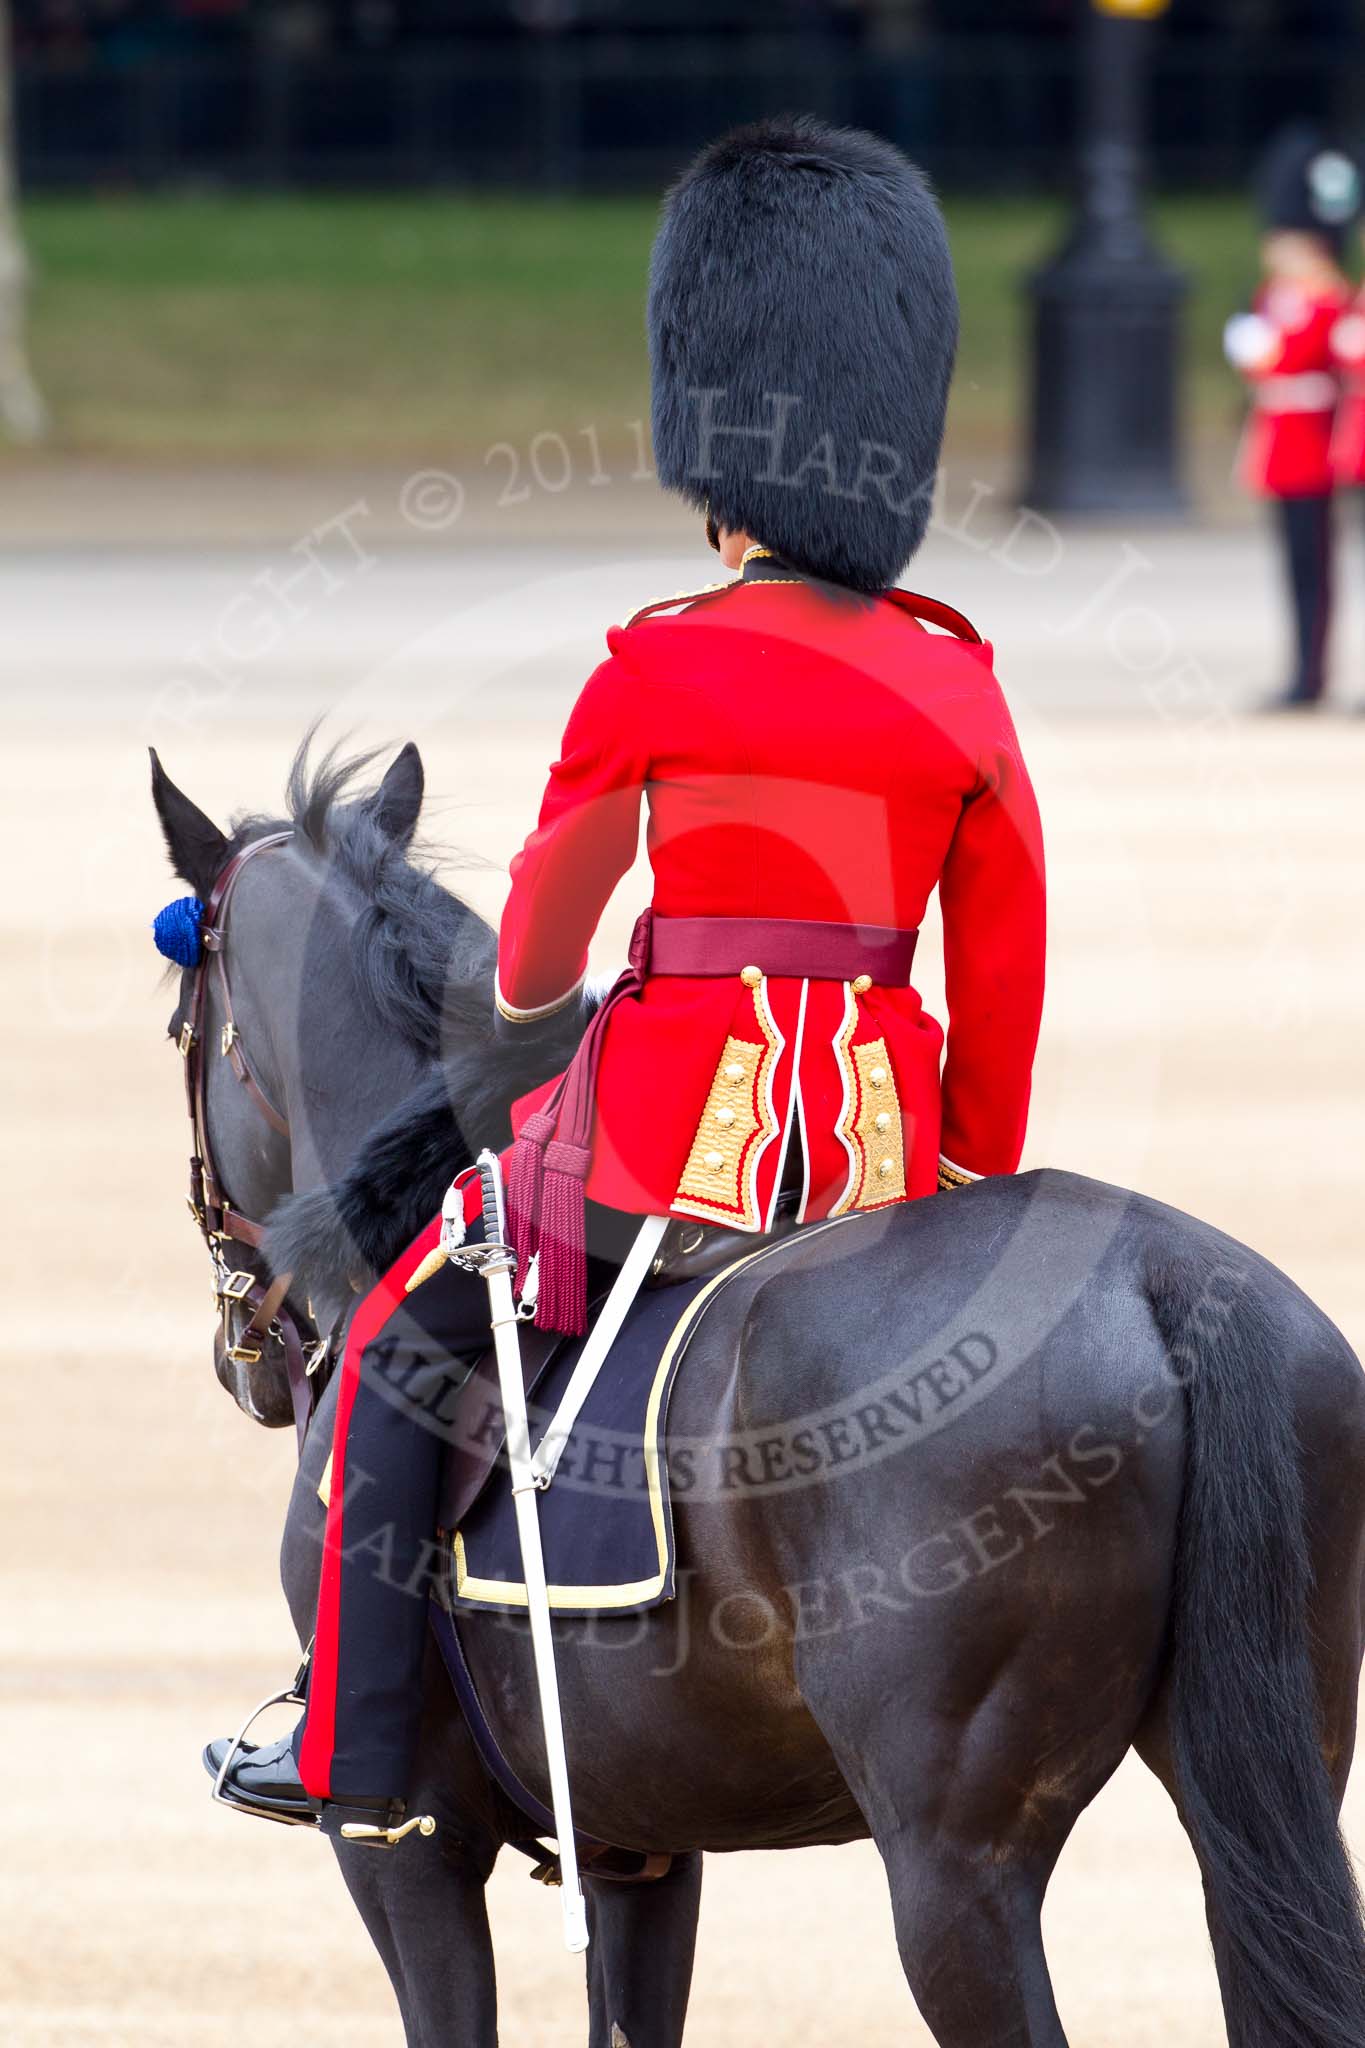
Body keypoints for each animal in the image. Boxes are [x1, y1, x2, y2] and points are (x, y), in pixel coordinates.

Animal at [152, 745, 1365, 2048]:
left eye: (181, 1011)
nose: (238, 1354)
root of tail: (1164, 1271)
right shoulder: (639, 1842)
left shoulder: (401, 1832)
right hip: (1261, 1789)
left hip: (956, 1861)